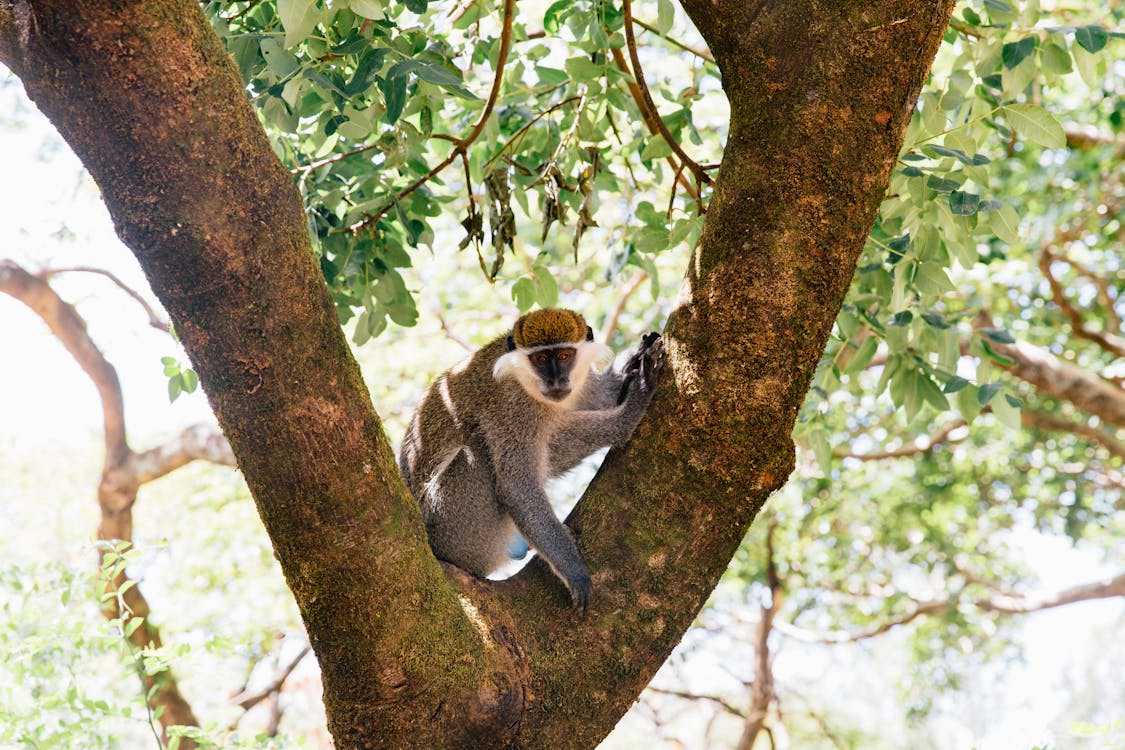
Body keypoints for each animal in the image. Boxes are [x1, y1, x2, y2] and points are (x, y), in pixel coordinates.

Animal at [400, 308, 661, 611]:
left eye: (564, 356)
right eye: (540, 359)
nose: (556, 381)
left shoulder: (581, 387)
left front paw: (632, 360)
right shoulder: (513, 407)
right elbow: (518, 486)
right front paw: (631, 409)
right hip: (451, 527)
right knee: (479, 449)